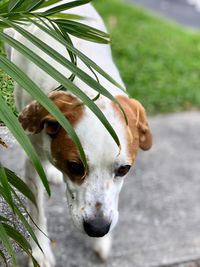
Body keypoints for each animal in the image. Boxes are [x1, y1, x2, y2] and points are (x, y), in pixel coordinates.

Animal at [5, 1, 152, 266]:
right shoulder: (33, 164)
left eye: (124, 170)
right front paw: (41, 251)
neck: (86, 87)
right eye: (74, 166)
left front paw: (103, 241)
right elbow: (37, 211)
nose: (98, 228)